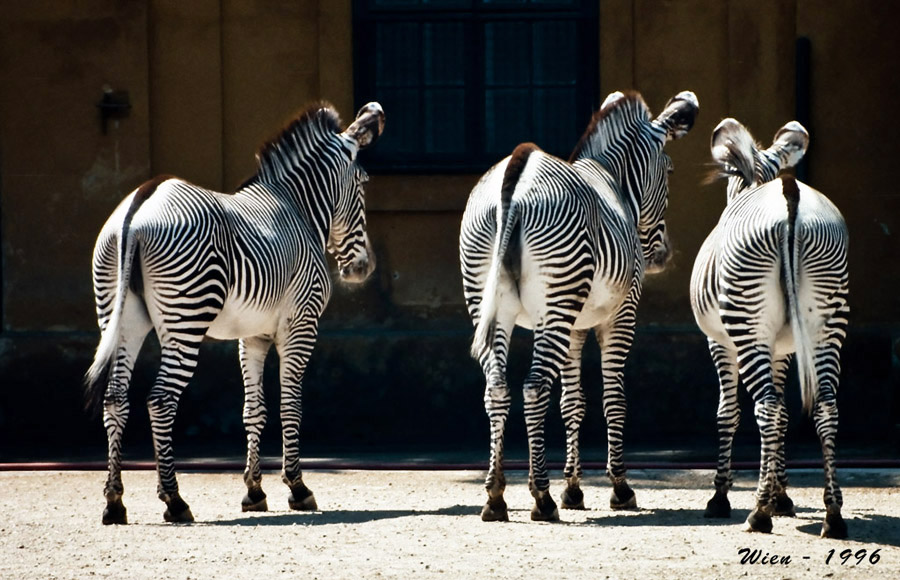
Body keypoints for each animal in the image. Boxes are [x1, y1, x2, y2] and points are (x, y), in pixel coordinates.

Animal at [84, 101, 385, 524]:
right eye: (363, 182)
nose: (363, 268)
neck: (298, 209)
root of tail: (140, 204)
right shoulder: (301, 324)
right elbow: (291, 405)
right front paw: (297, 488)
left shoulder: (252, 335)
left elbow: (253, 410)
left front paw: (254, 492)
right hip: (186, 318)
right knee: (160, 401)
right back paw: (174, 500)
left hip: (121, 318)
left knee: (115, 399)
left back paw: (114, 502)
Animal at [460, 90, 699, 521]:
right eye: (670, 171)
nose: (661, 255)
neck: (614, 182)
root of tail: (515, 175)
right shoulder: (621, 316)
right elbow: (614, 399)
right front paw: (618, 488)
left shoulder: (572, 325)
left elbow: (573, 402)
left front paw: (573, 488)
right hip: (555, 303)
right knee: (534, 388)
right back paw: (541, 497)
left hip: (493, 304)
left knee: (498, 388)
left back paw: (496, 495)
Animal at [690, 117, 849, 538]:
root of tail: (788, 194)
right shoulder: (785, 348)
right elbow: (787, 414)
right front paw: (782, 494)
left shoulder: (718, 342)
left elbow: (727, 413)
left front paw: (723, 497)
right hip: (827, 320)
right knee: (824, 407)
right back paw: (833, 515)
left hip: (747, 324)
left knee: (767, 407)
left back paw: (758, 513)